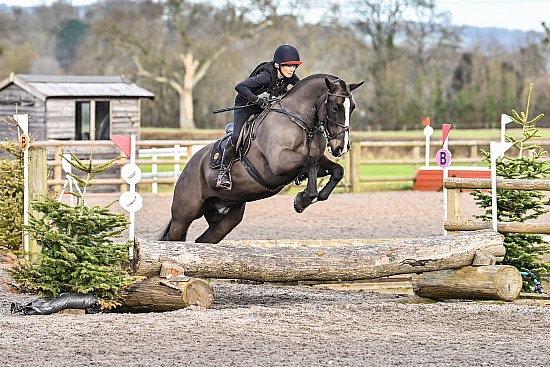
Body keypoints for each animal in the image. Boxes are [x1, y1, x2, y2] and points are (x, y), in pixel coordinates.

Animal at [161, 73, 366, 243]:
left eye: (352, 108)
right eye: (334, 107)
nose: (341, 147)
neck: (300, 120)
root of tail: (187, 168)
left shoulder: (316, 160)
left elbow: (336, 170)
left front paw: (312, 197)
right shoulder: (279, 163)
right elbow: (311, 165)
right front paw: (302, 199)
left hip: (225, 220)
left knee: (202, 241)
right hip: (184, 214)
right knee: (171, 238)